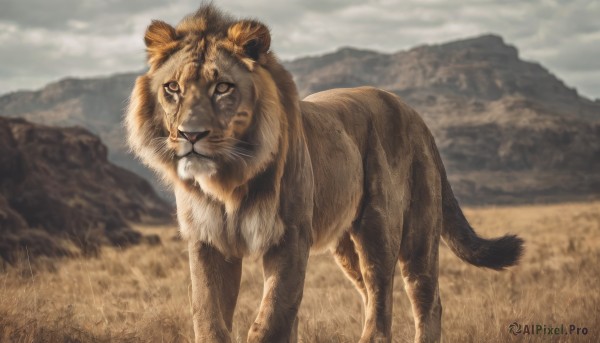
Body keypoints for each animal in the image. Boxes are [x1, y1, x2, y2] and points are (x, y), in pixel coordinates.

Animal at [123, 5, 524, 343]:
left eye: (223, 87)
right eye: (172, 88)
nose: (191, 135)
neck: (230, 180)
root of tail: (413, 113)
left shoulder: (289, 237)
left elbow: (271, 320)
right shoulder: (207, 241)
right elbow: (209, 318)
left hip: (396, 230)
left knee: (407, 301)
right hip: (346, 246)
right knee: (370, 296)